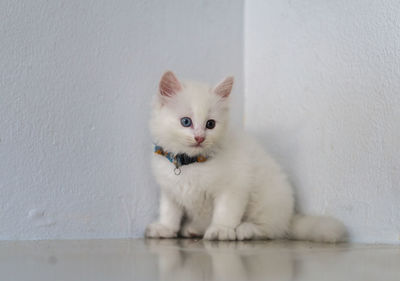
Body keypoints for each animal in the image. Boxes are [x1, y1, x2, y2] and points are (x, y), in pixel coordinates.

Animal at [145, 70, 346, 241]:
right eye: (186, 122)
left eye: (210, 124)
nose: (200, 138)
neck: (191, 163)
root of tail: (290, 218)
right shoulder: (170, 190)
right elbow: (169, 212)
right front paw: (165, 229)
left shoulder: (234, 186)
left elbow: (225, 212)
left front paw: (221, 230)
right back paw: (193, 229)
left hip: (266, 201)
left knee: (270, 230)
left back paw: (245, 230)